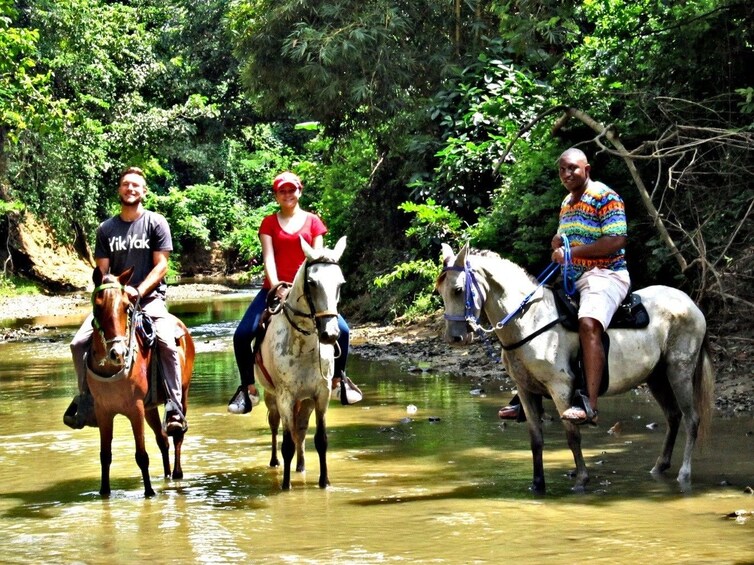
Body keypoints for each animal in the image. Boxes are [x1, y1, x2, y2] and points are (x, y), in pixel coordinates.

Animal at [86, 266, 194, 496]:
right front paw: (104, 493)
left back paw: (177, 475)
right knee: (162, 440)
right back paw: (167, 476)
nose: (117, 353)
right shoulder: (103, 411)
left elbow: (141, 455)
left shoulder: (135, 409)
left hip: (183, 393)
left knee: (176, 436)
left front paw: (149, 493)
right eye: (97, 307)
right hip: (150, 407)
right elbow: (105, 455)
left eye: (126, 306)